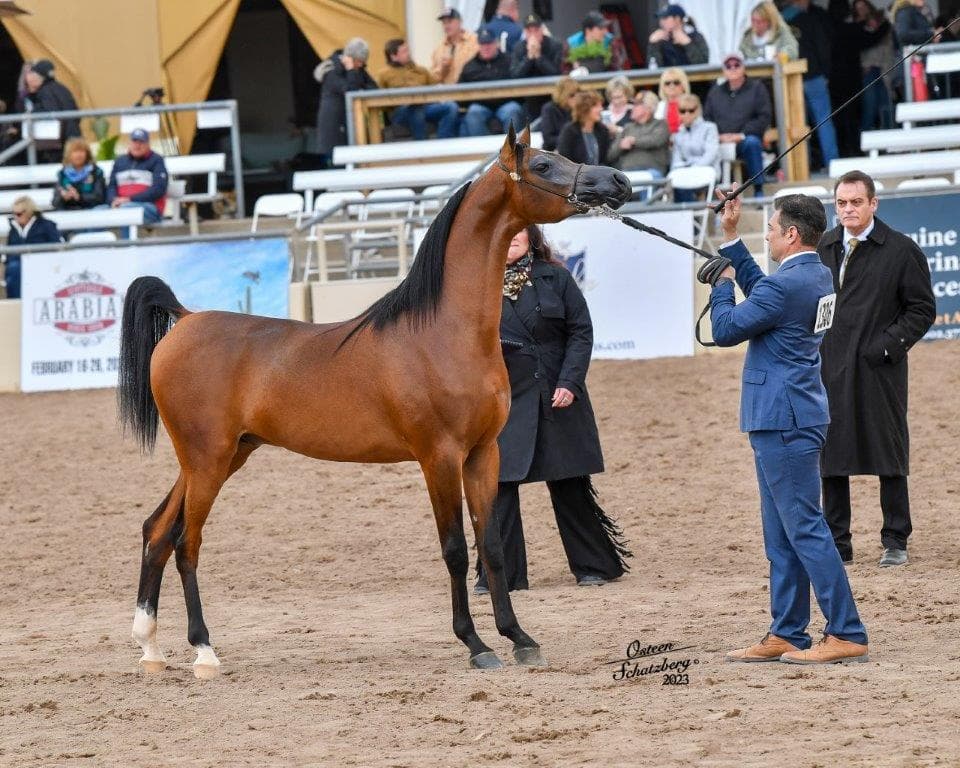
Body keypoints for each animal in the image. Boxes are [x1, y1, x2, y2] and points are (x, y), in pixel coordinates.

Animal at [118, 125, 631, 678]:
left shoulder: (482, 455)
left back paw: (150, 648)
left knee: (157, 531)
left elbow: (490, 544)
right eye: (542, 166)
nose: (617, 181)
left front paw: (519, 637)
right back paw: (204, 652)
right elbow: (455, 549)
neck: (442, 333)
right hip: (207, 460)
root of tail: (186, 319)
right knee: (186, 543)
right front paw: (476, 645)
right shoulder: (438, 457)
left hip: (221, 456)